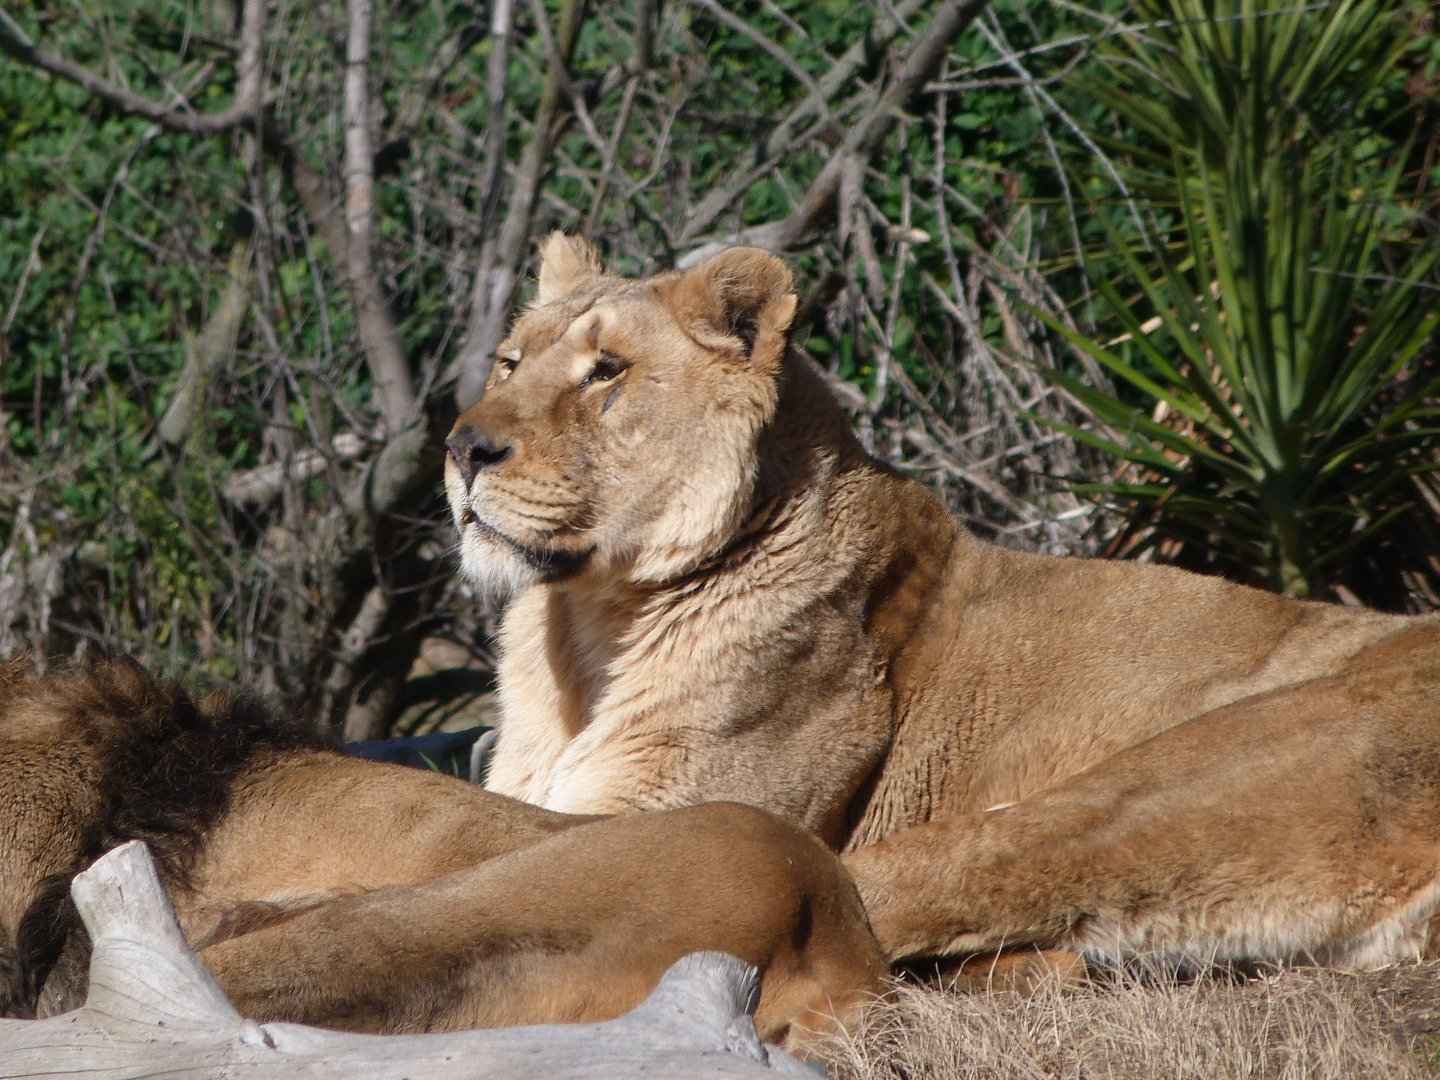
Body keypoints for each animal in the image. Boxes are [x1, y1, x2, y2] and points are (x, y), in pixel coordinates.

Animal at [444, 233, 1440, 973]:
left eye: (605, 370)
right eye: (510, 361)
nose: (462, 448)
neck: (586, 631)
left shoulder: (666, 795)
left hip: (1181, 778)